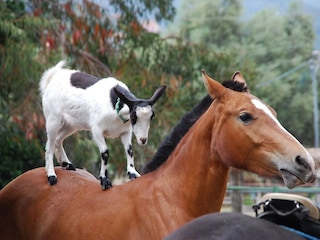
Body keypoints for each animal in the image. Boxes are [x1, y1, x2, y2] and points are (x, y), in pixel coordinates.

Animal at [38, 61, 166, 190]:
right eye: (134, 116)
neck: (114, 105)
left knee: (58, 139)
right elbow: (105, 153)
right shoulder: (97, 130)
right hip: (53, 119)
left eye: (151, 116)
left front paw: (133, 173)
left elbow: (129, 150)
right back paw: (51, 175)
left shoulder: (126, 132)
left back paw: (66, 164)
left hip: (71, 124)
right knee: (49, 145)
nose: (143, 140)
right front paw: (104, 179)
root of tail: (51, 78)